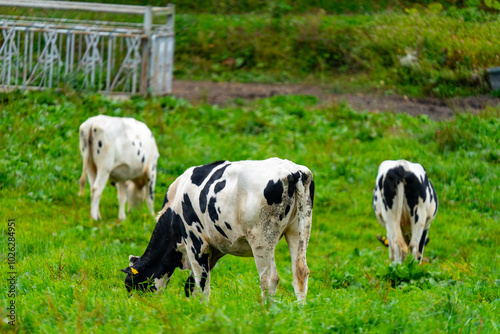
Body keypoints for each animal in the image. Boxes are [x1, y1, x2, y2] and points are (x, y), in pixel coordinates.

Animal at [121, 158, 314, 302]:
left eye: (131, 284)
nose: (137, 306)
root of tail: (293, 170)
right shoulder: (213, 250)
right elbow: (191, 284)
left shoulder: (195, 243)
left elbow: (201, 283)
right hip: (299, 230)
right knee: (300, 271)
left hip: (261, 239)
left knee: (270, 278)